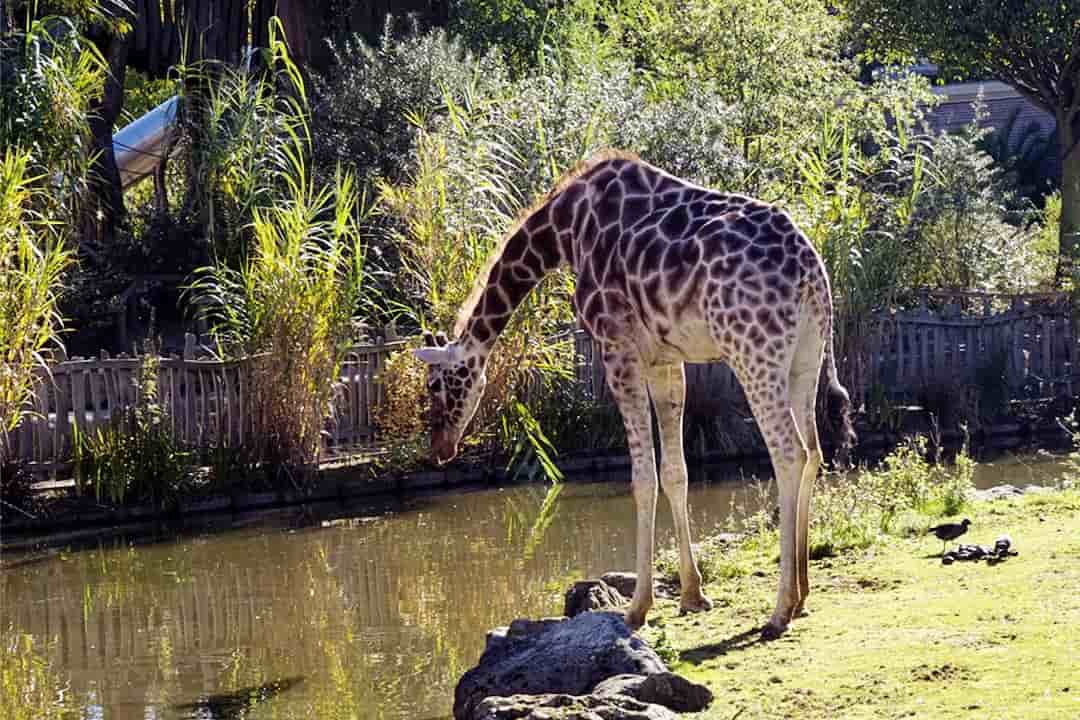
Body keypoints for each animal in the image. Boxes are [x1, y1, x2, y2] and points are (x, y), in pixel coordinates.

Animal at [412, 148, 851, 639]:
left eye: (434, 384)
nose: (440, 448)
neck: (563, 231)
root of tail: (810, 271)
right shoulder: (665, 360)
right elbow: (675, 472)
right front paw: (692, 595)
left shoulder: (615, 346)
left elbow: (642, 478)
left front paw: (637, 608)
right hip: (805, 354)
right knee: (814, 450)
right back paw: (804, 593)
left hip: (753, 350)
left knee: (789, 453)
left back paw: (779, 610)